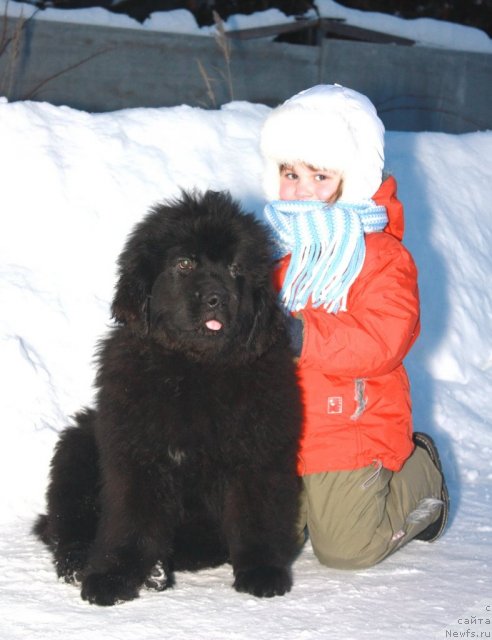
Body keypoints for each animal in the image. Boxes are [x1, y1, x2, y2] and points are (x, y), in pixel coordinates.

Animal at [34, 190, 302, 604]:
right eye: (185, 263)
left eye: (236, 268)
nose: (217, 297)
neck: (194, 370)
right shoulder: (137, 453)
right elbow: (130, 520)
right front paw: (113, 577)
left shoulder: (258, 453)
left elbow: (256, 514)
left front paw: (262, 571)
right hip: (77, 447)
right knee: (67, 525)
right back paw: (84, 564)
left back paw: (161, 570)